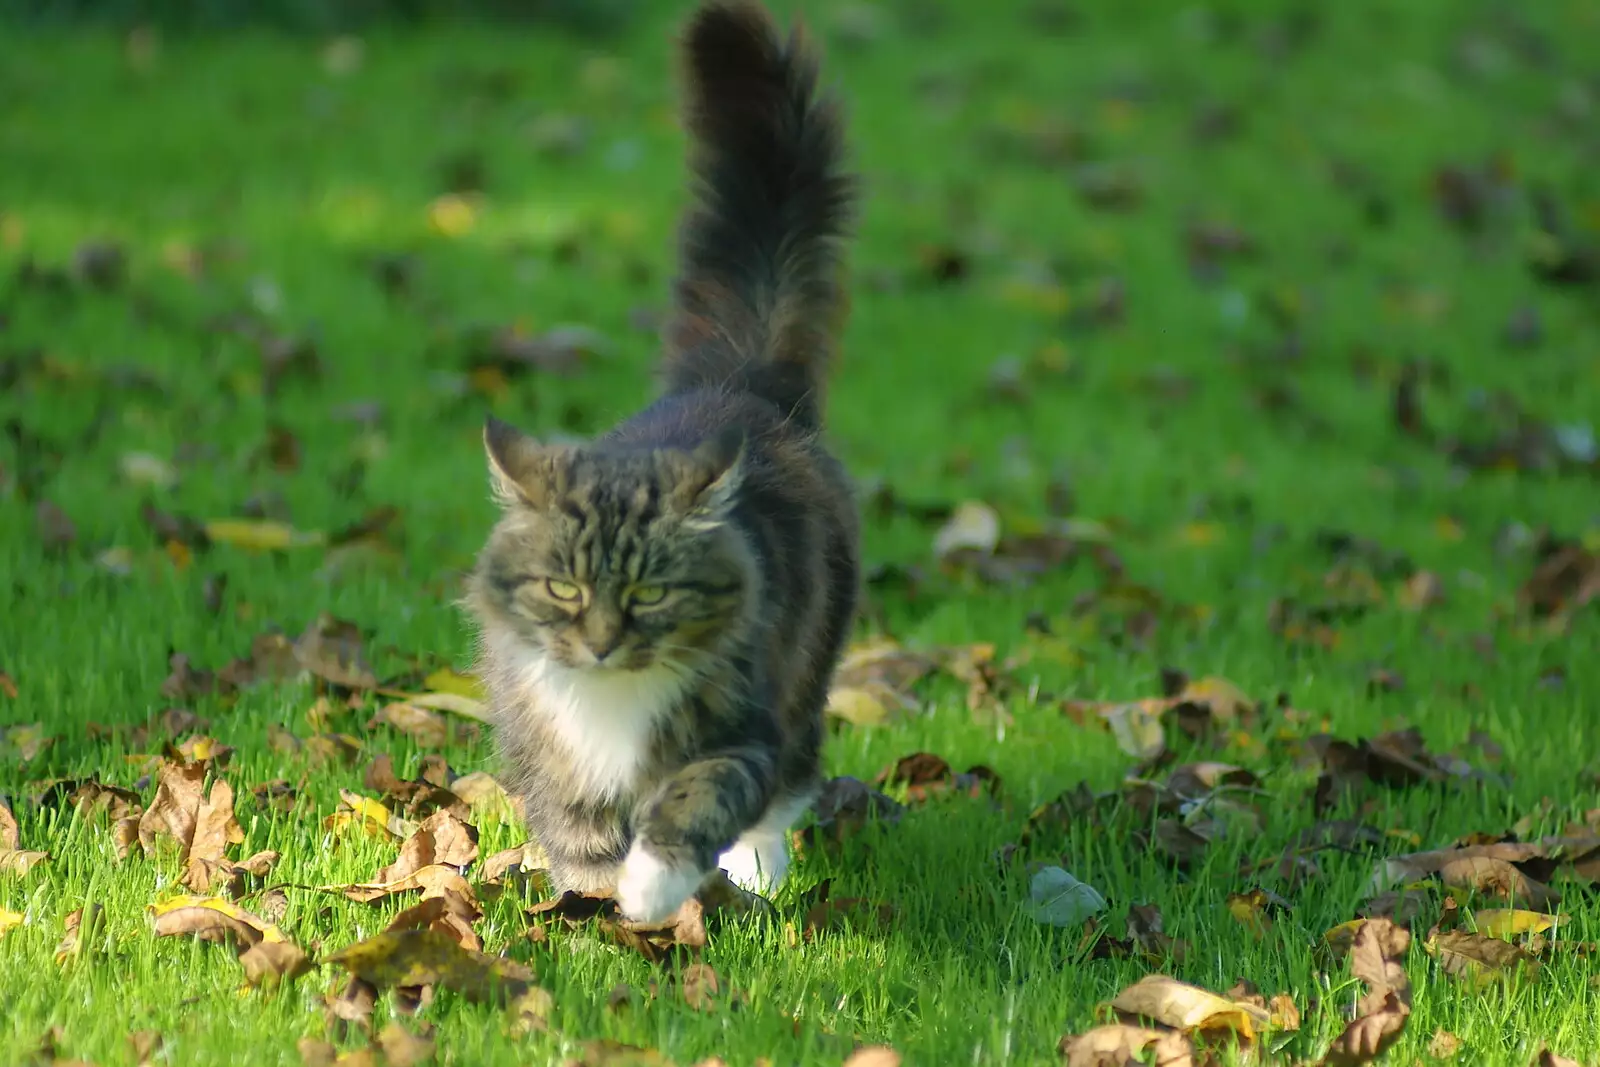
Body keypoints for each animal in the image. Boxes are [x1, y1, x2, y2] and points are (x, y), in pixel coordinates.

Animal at [467, 0, 864, 921]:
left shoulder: (744, 724)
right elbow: (576, 829)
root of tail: (737, 382)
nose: (602, 642)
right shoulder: (540, 733)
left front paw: (649, 890)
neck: (610, 697)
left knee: (789, 786)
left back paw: (758, 869)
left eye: (651, 593)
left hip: (806, 671)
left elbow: (703, 792)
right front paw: (596, 902)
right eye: (562, 588)